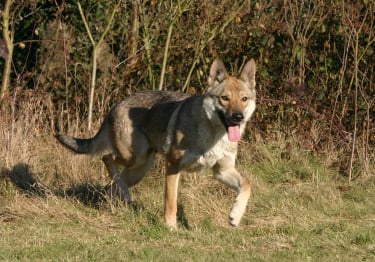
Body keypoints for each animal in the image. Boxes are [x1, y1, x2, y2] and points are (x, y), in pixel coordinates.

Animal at [57, 58, 258, 228]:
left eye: (244, 99)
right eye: (225, 98)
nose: (238, 117)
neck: (214, 135)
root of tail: (115, 106)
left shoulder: (222, 171)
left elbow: (247, 185)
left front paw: (235, 216)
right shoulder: (173, 166)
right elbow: (171, 201)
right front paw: (170, 227)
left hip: (140, 168)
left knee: (112, 185)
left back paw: (117, 203)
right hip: (135, 158)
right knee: (106, 158)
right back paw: (124, 197)